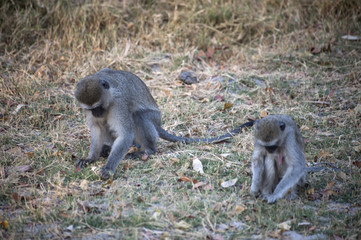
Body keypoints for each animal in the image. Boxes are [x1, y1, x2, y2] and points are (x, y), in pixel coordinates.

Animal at [74, 68, 252, 179]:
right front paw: (90, 158)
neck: (109, 97)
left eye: (98, 107)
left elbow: (125, 134)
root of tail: (159, 123)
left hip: (152, 118)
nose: (97, 113)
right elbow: (97, 130)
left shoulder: (119, 104)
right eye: (91, 109)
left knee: (138, 116)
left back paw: (147, 151)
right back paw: (107, 149)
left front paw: (108, 169)